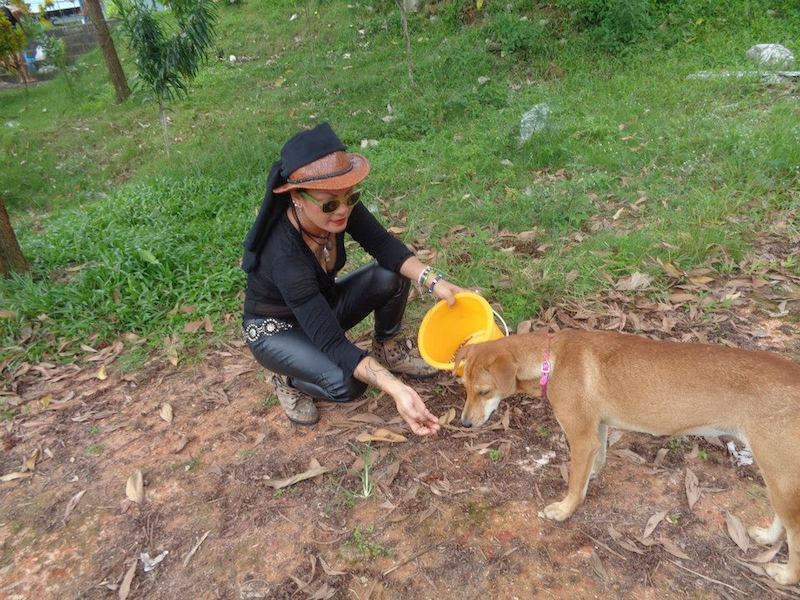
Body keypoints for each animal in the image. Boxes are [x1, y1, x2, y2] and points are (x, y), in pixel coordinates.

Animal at [456, 330, 800, 584]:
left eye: (484, 392)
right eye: (466, 388)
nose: (465, 424)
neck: (550, 360)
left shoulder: (580, 438)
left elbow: (574, 485)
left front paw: (565, 509)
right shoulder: (597, 429)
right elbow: (596, 461)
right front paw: (590, 478)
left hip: (780, 475)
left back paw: (786, 575)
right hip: (777, 475)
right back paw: (766, 537)